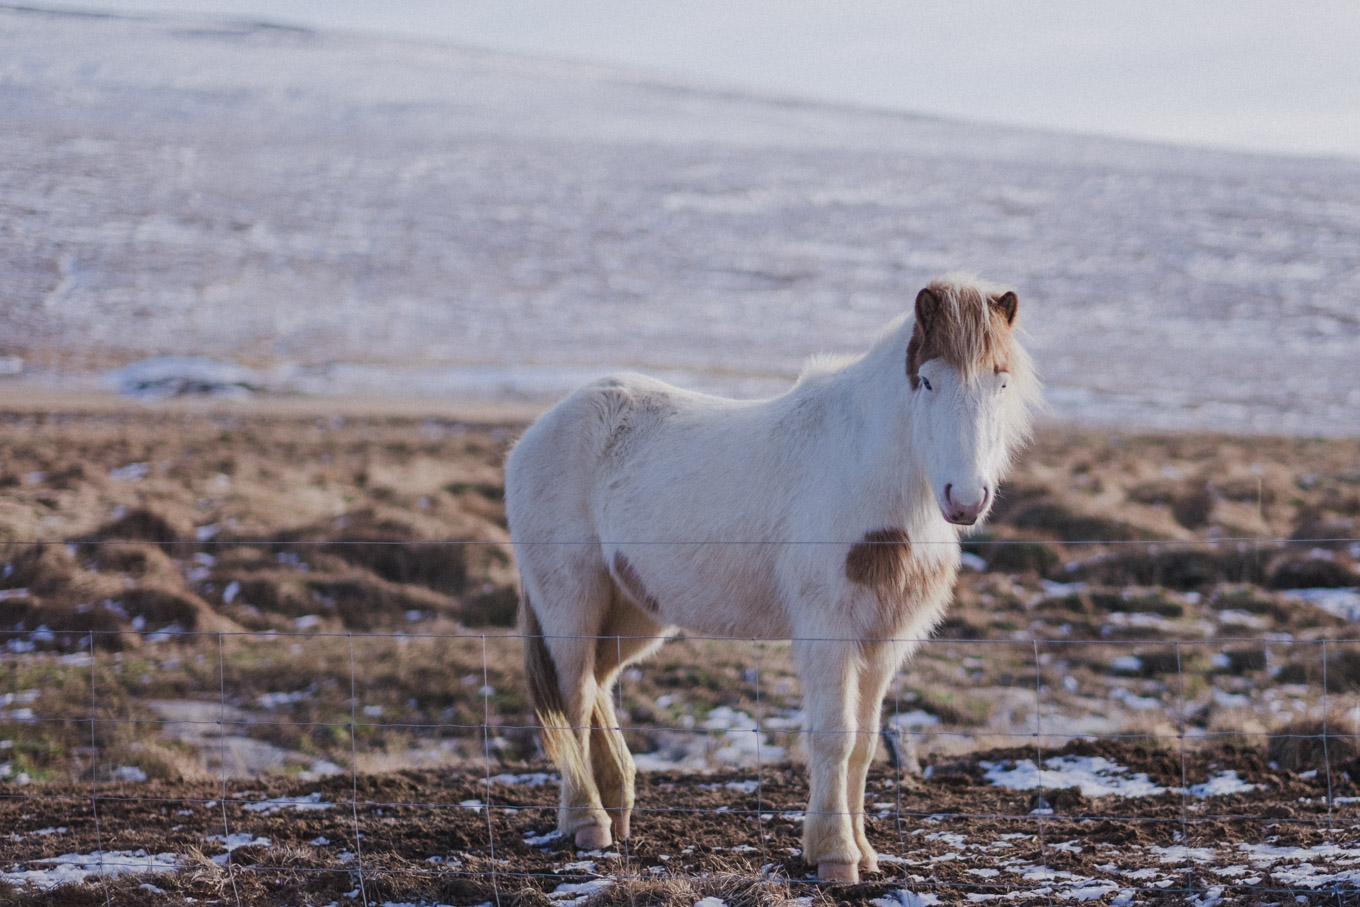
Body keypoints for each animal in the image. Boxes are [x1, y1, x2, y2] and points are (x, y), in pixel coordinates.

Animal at [505, 273, 1033, 881]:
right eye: (927, 381)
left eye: (1000, 381)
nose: (966, 500)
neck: (869, 474)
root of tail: (539, 431)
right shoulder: (827, 632)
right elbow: (834, 736)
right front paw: (835, 857)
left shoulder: (883, 640)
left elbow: (864, 744)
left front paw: (865, 854)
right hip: (570, 601)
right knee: (571, 697)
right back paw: (588, 823)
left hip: (632, 612)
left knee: (596, 686)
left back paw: (615, 811)